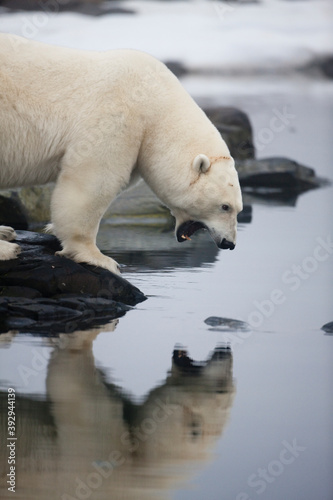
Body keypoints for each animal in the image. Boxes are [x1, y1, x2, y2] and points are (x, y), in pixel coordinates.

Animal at [1, 32, 243, 274]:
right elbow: (94, 180)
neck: (155, 100)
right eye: (225, 206)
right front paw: (99, 257)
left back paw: (6, 231)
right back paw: (8, 248)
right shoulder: (117, 118)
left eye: (238, 209)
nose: (229, 244)